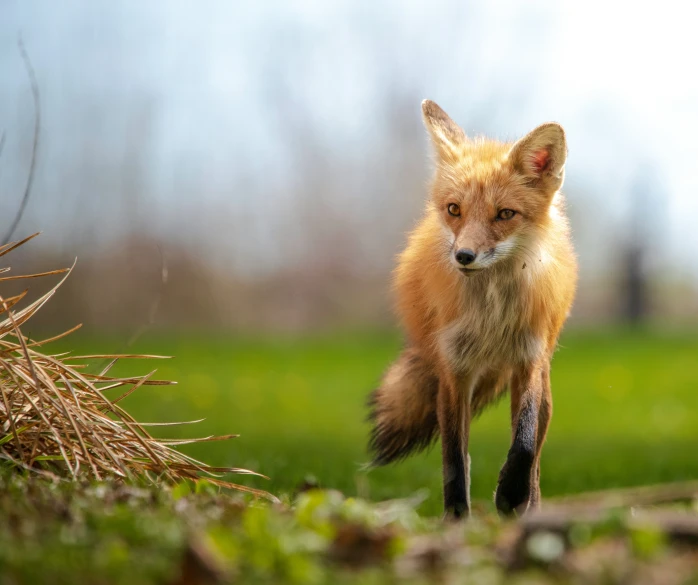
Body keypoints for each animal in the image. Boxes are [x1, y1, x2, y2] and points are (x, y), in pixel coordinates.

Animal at [368, 98, 572, 516]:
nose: (463, 256)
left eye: (505, 214)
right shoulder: (454, 373)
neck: (491, 315)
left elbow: (524, 443)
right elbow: (454, 461)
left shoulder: (527, 360)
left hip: (542, 382)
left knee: (536, 455)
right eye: (454, 209)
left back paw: (530, 508)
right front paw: (457, 519)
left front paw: (510, 492)